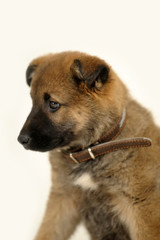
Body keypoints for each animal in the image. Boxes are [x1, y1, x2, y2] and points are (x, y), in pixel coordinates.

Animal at [17, 52, 160, 240]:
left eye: (53, 104)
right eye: (33, 103)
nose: (21, 139)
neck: (92, 149)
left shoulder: (141, 207)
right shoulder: (62, 199)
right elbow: (47, 231)